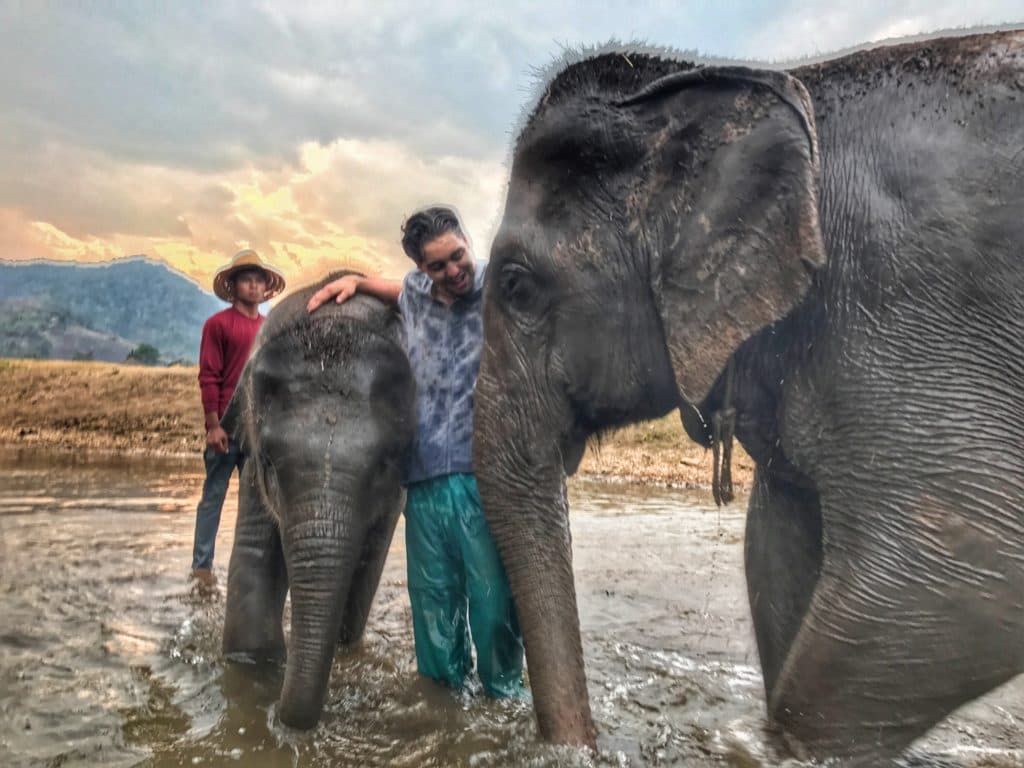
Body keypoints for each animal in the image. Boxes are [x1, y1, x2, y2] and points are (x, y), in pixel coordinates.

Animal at [220, 272, 414, 729]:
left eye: (384, 465)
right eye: (269, 463)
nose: (275, 712)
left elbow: (367, 562)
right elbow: (255, 555)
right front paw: (251, 668)